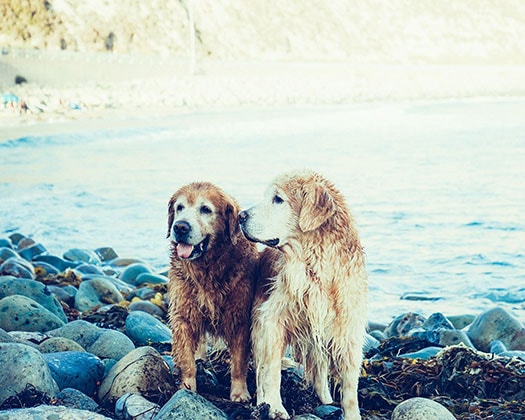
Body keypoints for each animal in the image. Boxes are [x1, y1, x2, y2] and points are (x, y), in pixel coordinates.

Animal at [167, 182, 256, 402]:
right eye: (179, 207)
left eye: (206, 209)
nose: (180, 227)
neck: (208, 268)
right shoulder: (183, 314)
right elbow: (186, 359)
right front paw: (187, 387)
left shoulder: (240, 318)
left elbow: (239, 363)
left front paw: (240, 393)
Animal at [239, 170, 366, 420]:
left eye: (278, 199)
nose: (240, 215)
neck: (315, 265)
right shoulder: (271, 320)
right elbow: (271, 371)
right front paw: (276, 408)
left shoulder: (347, 327)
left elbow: (349, 385)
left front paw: (351, 414)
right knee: (260, 369)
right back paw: (262, 402)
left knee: (319, 367)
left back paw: (325, 399)